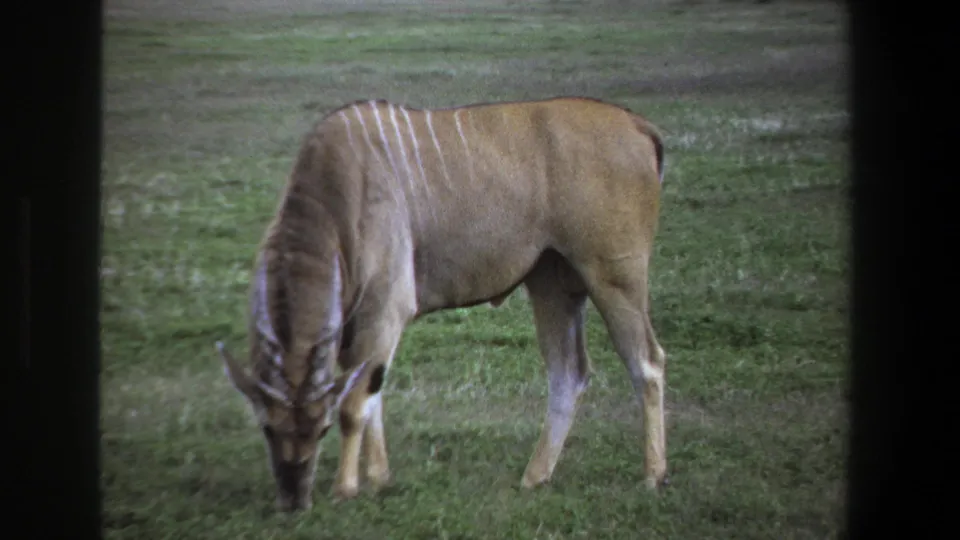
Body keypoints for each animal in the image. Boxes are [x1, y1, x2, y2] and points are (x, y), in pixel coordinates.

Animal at [216, 96, 669, 511]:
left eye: (321, 428)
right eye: (267, 428)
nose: (294, 499)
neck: (342, 189)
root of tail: (638, 125)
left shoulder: (385, 309)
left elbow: (355, 404)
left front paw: (346, 488)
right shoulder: (359, 330)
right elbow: (371, 394)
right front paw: (379, 478)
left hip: (614, 275)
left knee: (647, 362)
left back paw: (653, 476)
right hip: (552, 283)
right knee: (569, 373)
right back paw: (534, 477)